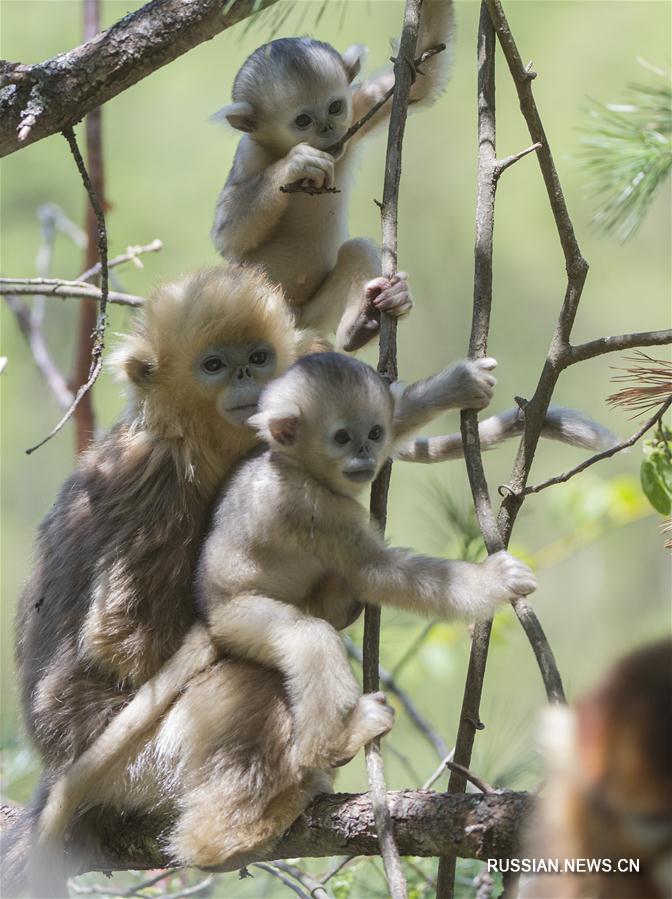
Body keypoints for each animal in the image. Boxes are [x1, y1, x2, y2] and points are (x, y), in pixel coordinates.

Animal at [30, 352, 536, 884]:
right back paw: (329, 744)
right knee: (309, 638)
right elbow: (378, 571)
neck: (293, 465)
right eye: (342, 437)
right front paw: (497, 579)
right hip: (242, 619)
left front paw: (460, 384)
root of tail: (207, 618)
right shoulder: (314, 510)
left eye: (375, 432)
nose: (365, 456)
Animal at [210, 0, 454, 350]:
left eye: (335, 107)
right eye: (303, 121)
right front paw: (296, 163)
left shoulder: (358, 107)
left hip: (313, 317)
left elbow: (420, 76)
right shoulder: (250, 155)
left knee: (357, 249)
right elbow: (228, 236)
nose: (327, 129)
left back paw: (364, 322)